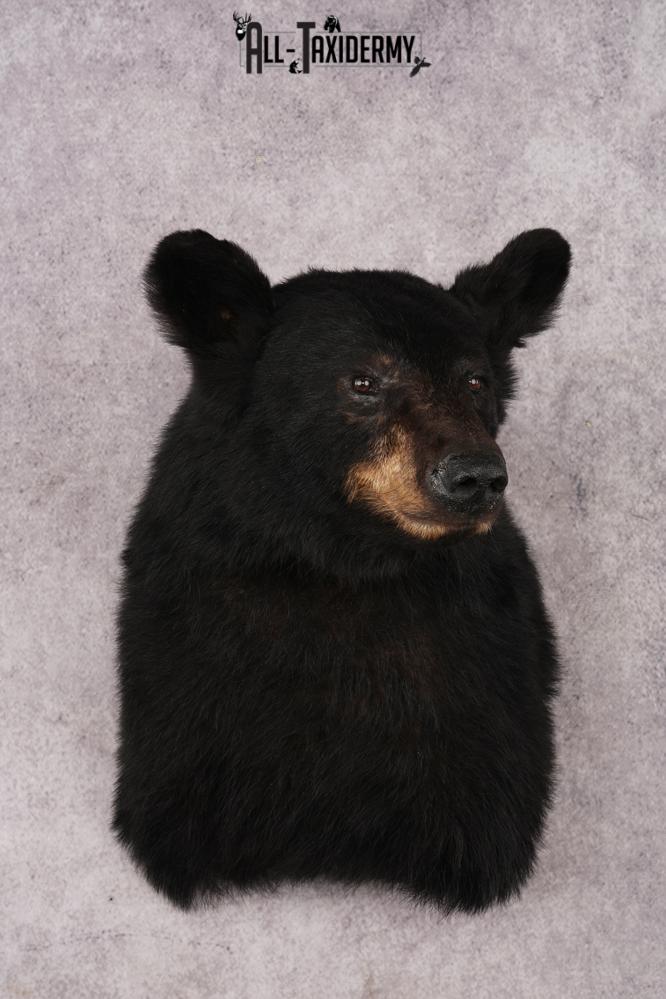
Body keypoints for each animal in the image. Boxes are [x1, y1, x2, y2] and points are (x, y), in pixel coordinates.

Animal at [112, 227, 571, 913]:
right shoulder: (187, 658)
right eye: (362, 381)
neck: (344, 562)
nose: (476, 476)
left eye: (475, 381)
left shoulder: (485, 668)